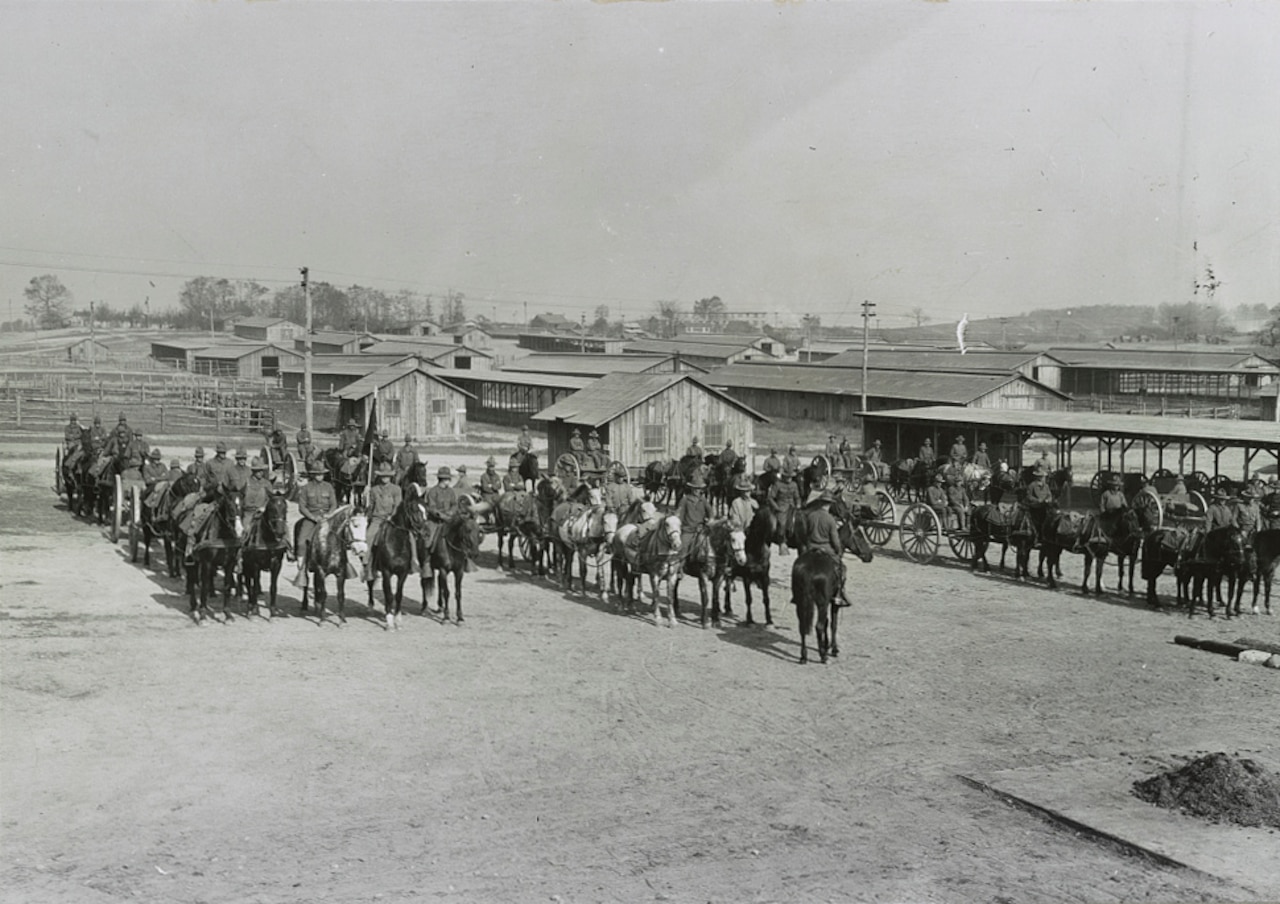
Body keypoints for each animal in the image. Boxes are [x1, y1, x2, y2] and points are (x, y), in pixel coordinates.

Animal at [185, 486, 244, 619]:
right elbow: (205, 586)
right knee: (191, 578)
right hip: (190, 558)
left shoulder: (230, 563)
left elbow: (227, 586)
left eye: (243, 505)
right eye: (229, 505)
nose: (239, 530)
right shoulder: (207, 563)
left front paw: (227, 613)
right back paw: (193, 605)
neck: (222, 538)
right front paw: (202, 613)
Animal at [238, 489, 290, 617]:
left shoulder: (277, 564)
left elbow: (273, 586)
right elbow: (255, 586)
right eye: (271, 508)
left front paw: (273, 609)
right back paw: (250, 604)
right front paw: (255, 608)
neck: (268, 538)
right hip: (246, 566)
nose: (280, 532)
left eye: (285, 509)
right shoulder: (255, 564)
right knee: (248, 583)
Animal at [366, 491, 430, 627]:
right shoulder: (386, 572)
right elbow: (389, 595)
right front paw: (390, 621)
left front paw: (398, 619)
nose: (427, 534)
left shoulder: (402, 573)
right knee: (370, 583)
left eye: (427, 511)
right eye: (415, 510)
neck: (396, 543)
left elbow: (398, 595)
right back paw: (370, 606)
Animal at [788, 514, 880, 660]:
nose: (869, 556)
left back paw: (804, 656)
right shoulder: (834, 602)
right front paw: (833, 648)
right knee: (818, 626)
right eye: (859, 535)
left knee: (802, 626)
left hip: (801, 601)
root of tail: (809, 569)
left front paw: (826, 645)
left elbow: (826, 622)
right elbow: (833, 624)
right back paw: (823, 656)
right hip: (822, 603)